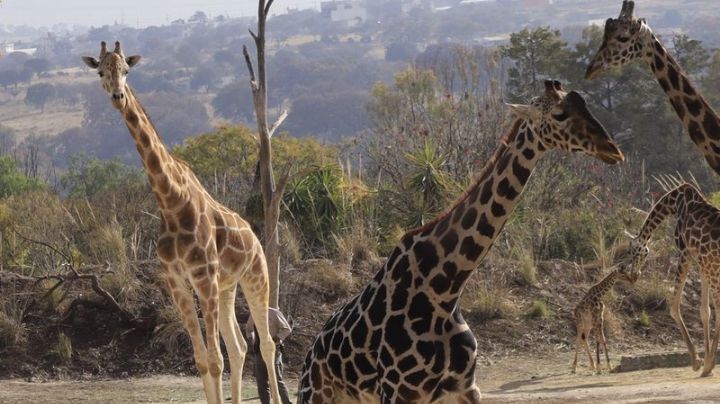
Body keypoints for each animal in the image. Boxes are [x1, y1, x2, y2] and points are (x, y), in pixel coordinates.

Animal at [81, 41, 280, 404]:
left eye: (126, 70)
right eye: (101, 71)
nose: (118, 96)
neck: (171, 202)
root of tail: (255, 237)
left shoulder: (203, 277)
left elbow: (215, 360)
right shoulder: (176, 281)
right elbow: (202, 359)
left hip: (256, 277)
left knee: (267, 344)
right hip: (227, 287)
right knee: (240, 347)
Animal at [297, 80, 624, 403]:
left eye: (584, 105)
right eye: (559, 115)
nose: (613, 150)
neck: (445, 290)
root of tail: (310, 353)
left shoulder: (464, 388)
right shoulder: (398, 391)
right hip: (316, 394)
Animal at [625, 182, 720, 377]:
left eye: (632, 252)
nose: (633, 275)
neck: (675, 202)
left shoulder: (685, 253)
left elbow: (674, 306)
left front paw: (699, 363)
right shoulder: (701, 261)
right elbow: (705, 311)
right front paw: (708, 364)